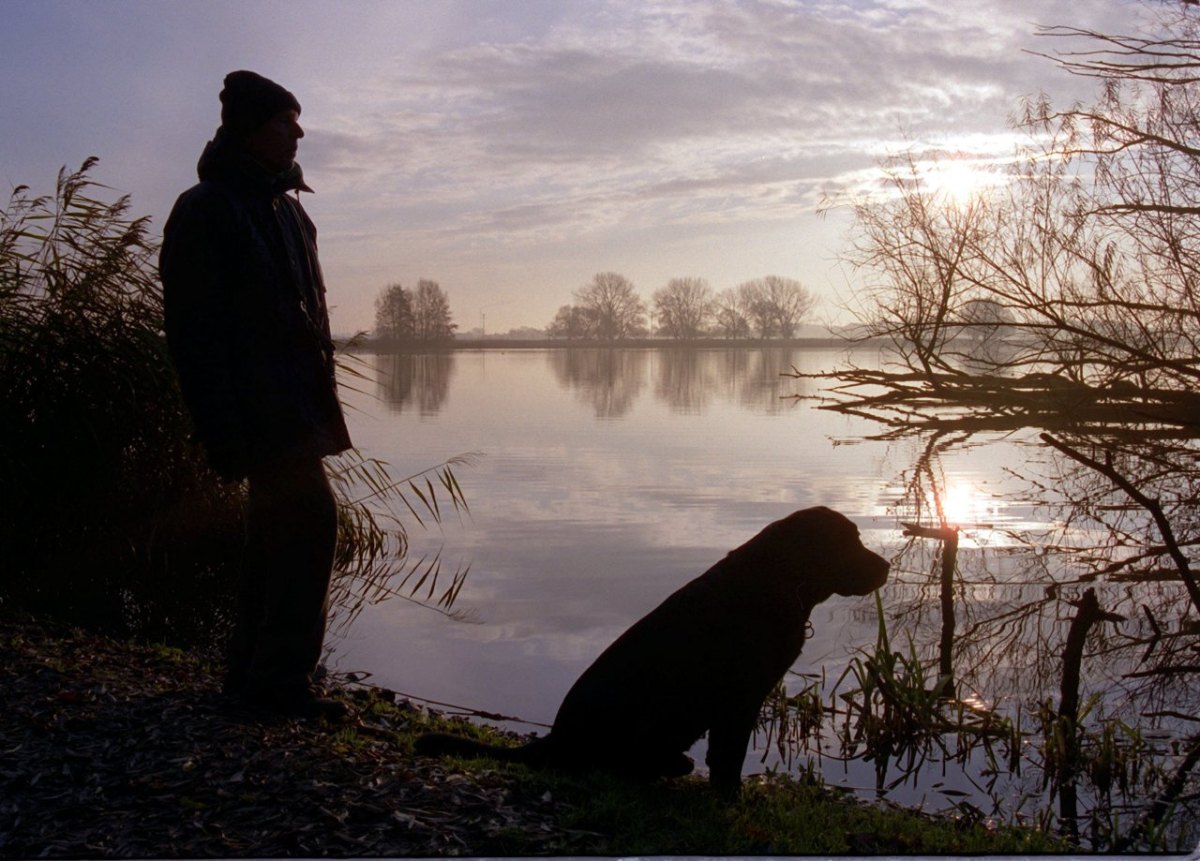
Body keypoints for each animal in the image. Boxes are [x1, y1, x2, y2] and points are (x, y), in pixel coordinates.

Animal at [417, 506, 888, 796]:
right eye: (849, 542)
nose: (885, 566)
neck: (778, 581)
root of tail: (555, 740)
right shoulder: (741, 699)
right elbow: (729, 757)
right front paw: (730, 798)